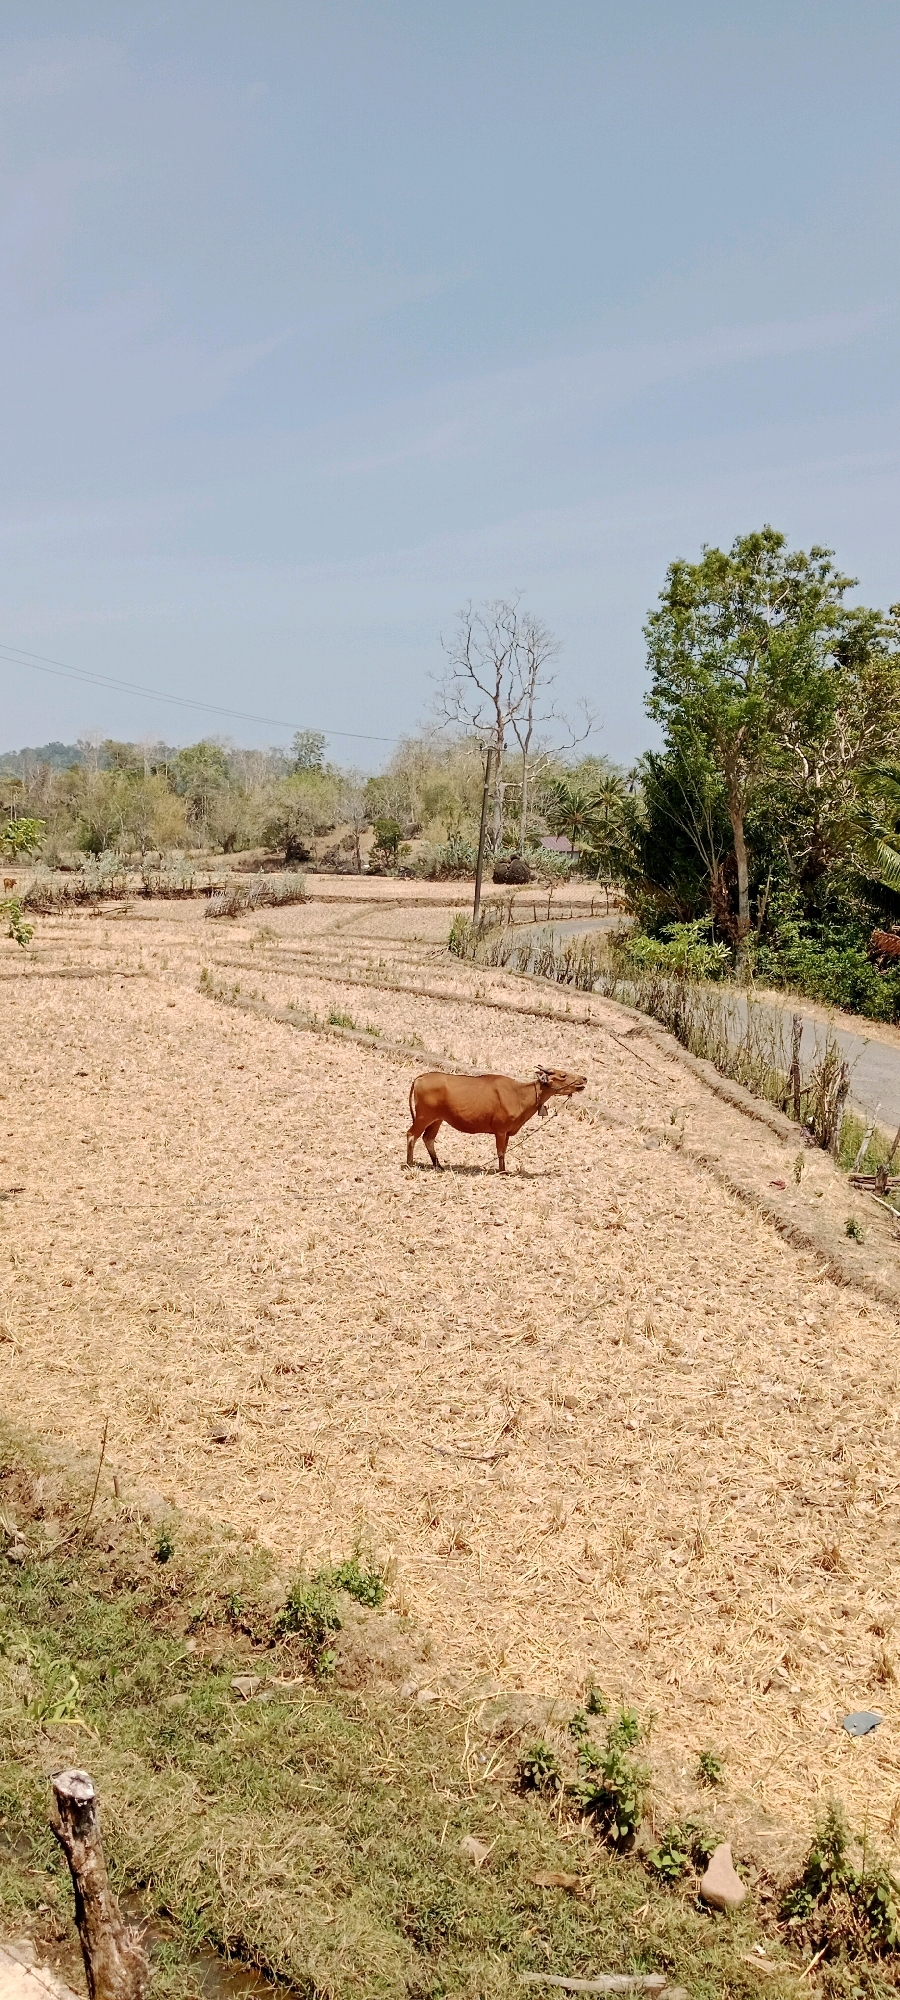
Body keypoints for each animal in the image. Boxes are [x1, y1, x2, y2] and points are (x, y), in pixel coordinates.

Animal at [406, 1067, 587, 1173]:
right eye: (563, 1075)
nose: (584, 1079)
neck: (519, 1094)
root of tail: (420, 1078)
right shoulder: (500, 1130)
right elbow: (500, 1152)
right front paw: (502, 1171)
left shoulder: (506, 1132)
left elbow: (504, 1151)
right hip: (424, 1116)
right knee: (411, 1135)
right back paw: (410, 1163)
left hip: (437, 1119)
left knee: (428, 1138)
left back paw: (438, 1165)